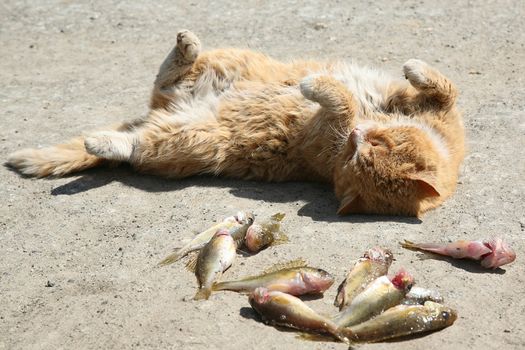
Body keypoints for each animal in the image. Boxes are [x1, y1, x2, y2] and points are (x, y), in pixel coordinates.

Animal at [6, 29, 464, 216]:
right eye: (375, 144)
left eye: (362, 154)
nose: (356, 136)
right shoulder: (435, 108)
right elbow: (444, 85)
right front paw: (413, 67)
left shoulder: (323, 139)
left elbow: (343, 102)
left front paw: (321, 88)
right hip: (232, 62)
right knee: (168, 77)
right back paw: (186, 46)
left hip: (192, 139)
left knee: (135, 145)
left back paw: (103, 142)